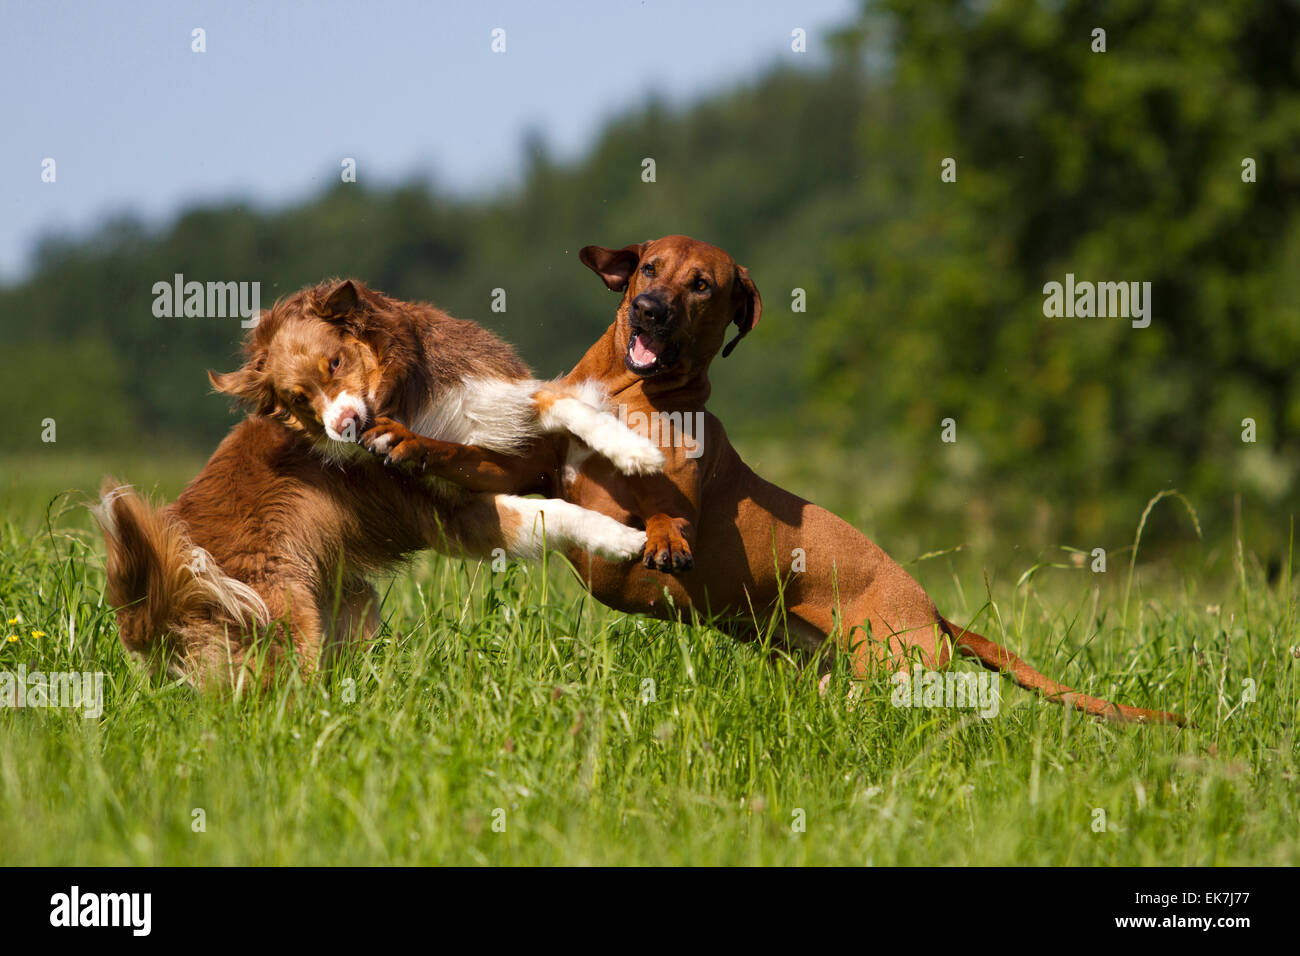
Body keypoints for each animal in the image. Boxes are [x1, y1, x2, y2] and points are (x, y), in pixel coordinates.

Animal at [94, 277, 655, 686]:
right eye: (299, 399)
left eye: (335, 361)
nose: (345, 425)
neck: (402, 404)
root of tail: (149, 603)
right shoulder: (455, 516)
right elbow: (553, 513)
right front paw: (625, 539)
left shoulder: (495, 407)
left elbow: (568, 404)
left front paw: (636, 451)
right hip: (282, 616)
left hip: (350, 597)